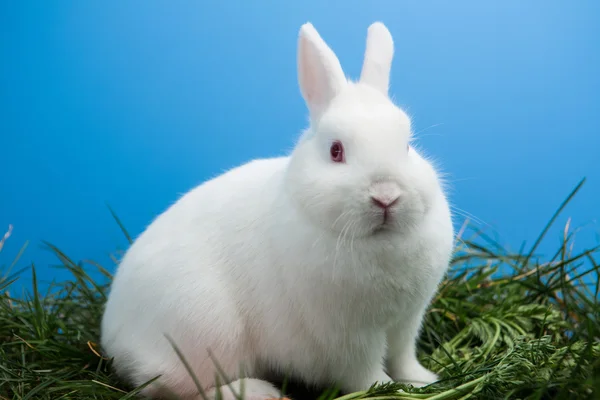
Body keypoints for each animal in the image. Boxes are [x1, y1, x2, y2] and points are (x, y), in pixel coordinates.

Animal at [99, 21, 454, 400]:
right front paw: (386, 388)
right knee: (177, 387)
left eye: (407, 146)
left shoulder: (405, 323)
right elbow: (363, 373)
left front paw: (422, 380)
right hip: (203, 332)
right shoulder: (348, 338)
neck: (380, 240)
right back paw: (259, 391)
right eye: (336, 151)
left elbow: (403, 356)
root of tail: (114, 337)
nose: (386, 196)